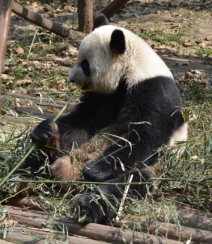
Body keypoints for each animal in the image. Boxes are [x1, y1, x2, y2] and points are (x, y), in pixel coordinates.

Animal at [26, 12, 187, 223]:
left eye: (85, 64)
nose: (71, 79)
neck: (134, 67)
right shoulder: (106, 96)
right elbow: (83, 121)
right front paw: (45, 129)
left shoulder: (153, 92)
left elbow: (141, 137)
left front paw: (95, 170)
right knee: (36, 158)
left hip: (153, 169)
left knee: (124, 186)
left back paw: (88, 205)